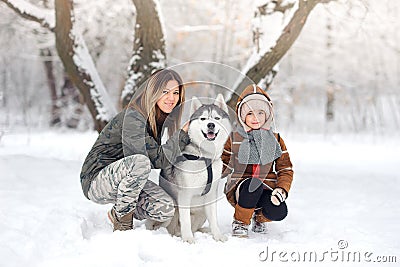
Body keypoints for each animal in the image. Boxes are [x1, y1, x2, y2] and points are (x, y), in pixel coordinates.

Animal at [149, 94, 231, 245]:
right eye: (203, 119)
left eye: (216, 118)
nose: (211, 125)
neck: (204, 157)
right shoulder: (184, 195)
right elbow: (185, 220)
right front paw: (188, 239)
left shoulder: (211, 195)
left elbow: (214, 219)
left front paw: (217, 236)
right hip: (172, 209)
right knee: (168, 228)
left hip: (201, 212)